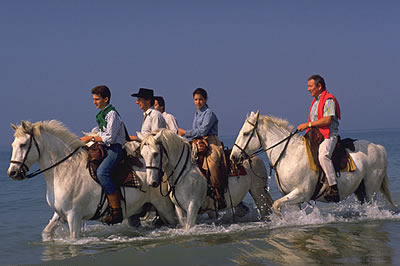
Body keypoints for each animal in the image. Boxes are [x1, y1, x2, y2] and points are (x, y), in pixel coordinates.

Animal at [7, 120, 177, 239]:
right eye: (13, 144)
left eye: (23, 145)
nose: (12, 172)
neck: (64, 171)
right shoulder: (60, 214)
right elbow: (47, 232)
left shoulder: (74, 217)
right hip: (136, 213)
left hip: (165, 209)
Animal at [139, 128, 274, 229]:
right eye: (142, 155)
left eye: (155, 153)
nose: (151, 182)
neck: (184, 173)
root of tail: (254, 157)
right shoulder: (179, 208)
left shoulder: (192, 206)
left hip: (258, 193)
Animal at [230, 111, 396, 215]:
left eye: (246, 133)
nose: (233, 157)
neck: (290, 155)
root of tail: (378, 147)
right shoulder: (292, 198)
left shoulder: (301, 193)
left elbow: (276, 205)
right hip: (361, 190)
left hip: (371, 189)